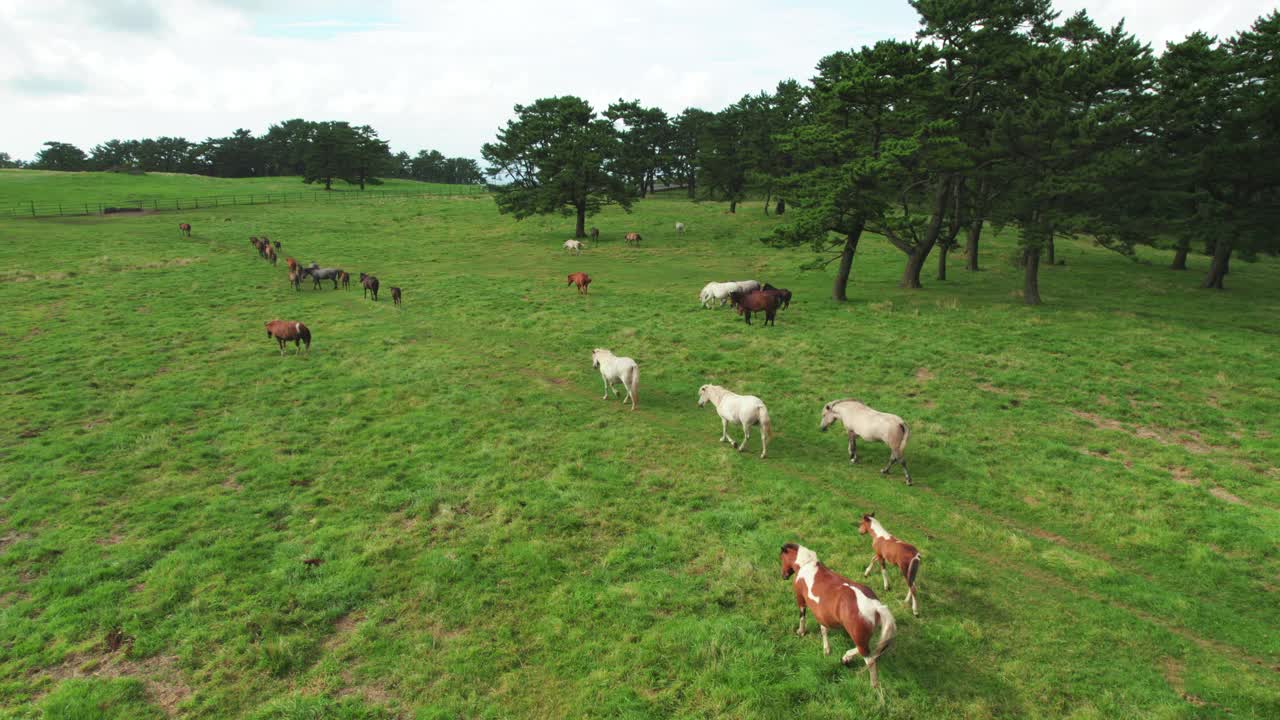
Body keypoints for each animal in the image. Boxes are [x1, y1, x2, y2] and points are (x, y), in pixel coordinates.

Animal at [773, 540, 896, 686]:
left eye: (781, 557)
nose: (783, 575)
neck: (807, 565)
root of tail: (876, 606)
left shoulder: (800, 600)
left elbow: (802, 617)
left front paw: (801, 632)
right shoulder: (822, 614)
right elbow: (824, 630)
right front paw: (827, 650)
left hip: (859, 639)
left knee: (869, 659)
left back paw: (873, 685)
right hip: (863, 637)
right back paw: (846, 658)